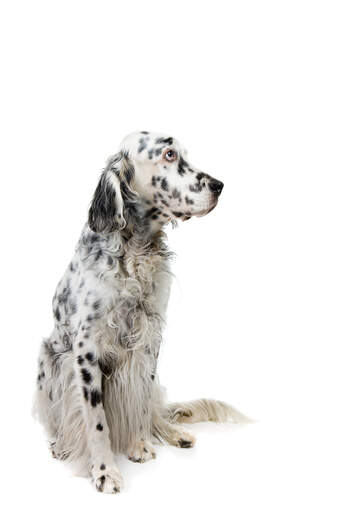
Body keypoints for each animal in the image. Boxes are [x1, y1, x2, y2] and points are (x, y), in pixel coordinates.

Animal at [33, 131, 244, 492]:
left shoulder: (149, 338)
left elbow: (141, 400)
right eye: (169, 154)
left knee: (156, 410)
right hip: (49, 361)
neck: (135, 250)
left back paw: (174, 433)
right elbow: (96, 420)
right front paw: (105, 470)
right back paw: (62, 445)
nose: (219, 185)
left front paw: (139, 444)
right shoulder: (86, 348)